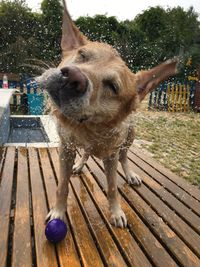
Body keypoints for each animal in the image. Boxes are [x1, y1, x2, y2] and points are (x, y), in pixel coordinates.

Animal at [38, 0, 178, 230]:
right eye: (82, 55)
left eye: (112, 86)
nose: (73, 78)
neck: (89, 128)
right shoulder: (66, 148)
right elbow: (62, 185)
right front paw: (58, 211)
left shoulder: (111, 156)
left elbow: (112, 187)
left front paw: (116, 212)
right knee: (86, 153)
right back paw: (80, 164)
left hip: (130, 136)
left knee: (124, 157)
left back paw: (129, 174)